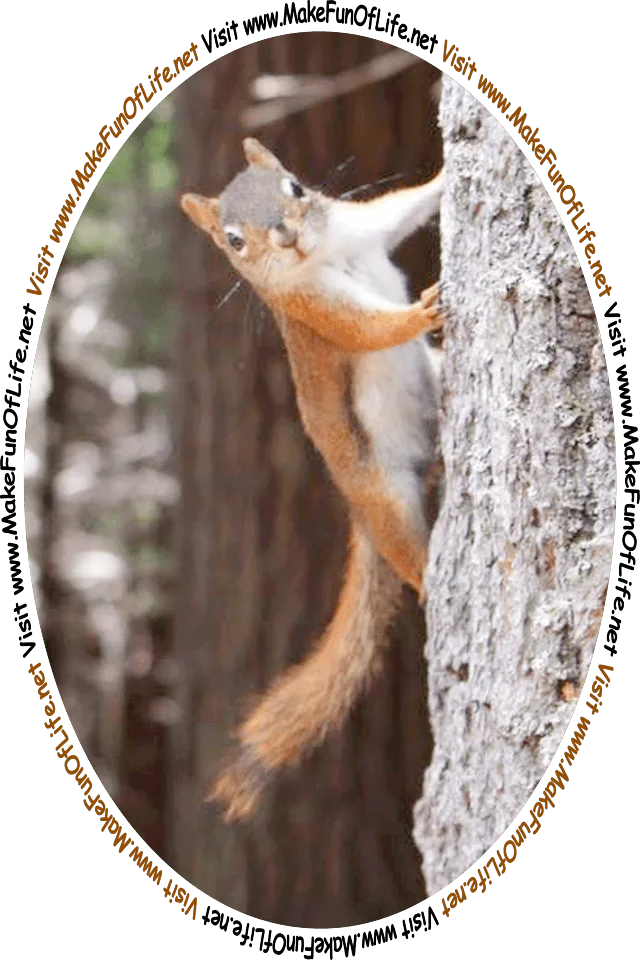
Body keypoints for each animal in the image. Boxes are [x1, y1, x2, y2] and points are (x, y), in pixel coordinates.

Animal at [181, 138, 445, 822]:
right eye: (233, 241)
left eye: (296, 188)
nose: (287, 236)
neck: (325, 254)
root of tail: (357, 510)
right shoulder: (312, 312)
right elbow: (367, 329)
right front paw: (419, 312)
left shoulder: (365, 227)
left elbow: (407, 207)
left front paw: (448, 172)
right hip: (384, 498)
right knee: (408, 555)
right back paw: (432, 582)